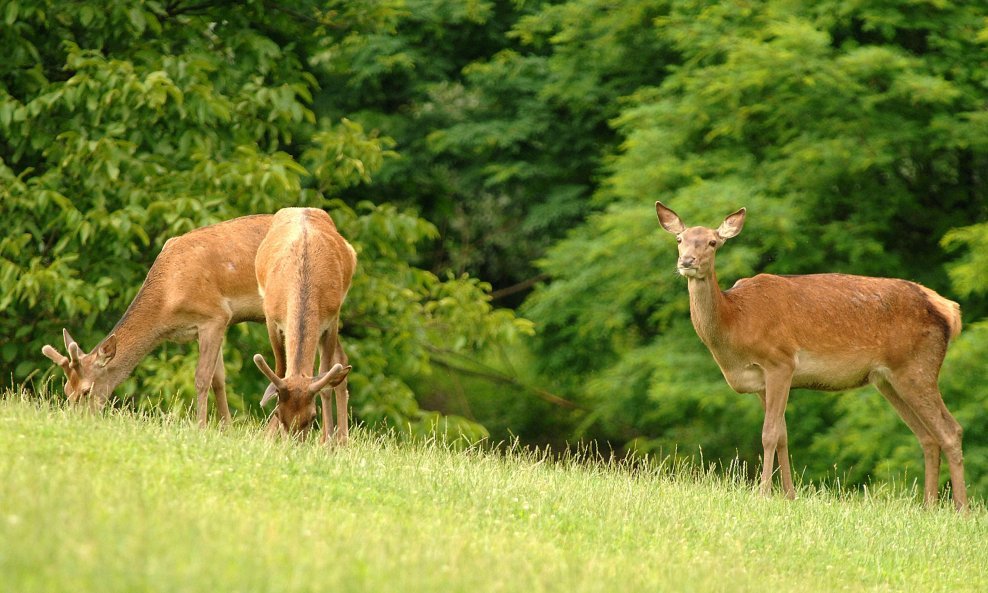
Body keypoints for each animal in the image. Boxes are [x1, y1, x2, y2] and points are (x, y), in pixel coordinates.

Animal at [41, 214, 274, 426]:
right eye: (66, 389)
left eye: (86, 390)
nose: (75, 420)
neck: (167, 302)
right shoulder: (203, 327)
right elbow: (218, 379)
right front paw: (226, 428)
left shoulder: (216, 315)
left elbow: (202, 378)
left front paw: (201, 428)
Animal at [251, 208, 356, 444]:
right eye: (278, 413)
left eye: (312, 416)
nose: (293, 446)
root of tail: (302, 208)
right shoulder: (271, 318)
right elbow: (280, 370)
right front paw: (268, 436)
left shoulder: (331, 319)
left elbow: (325, 380)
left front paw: (327, 442)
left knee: (340, 362)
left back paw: (341, 441)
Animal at [652, 200, 968, 508]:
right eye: (680, 239)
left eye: (713, 242)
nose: (687, 262)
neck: (735, 325)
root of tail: (950, 310)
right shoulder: (760, 382)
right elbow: (782, 434)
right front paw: (789, 496)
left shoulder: (780, 361)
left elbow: (768, 433)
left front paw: (764, 494)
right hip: (888, 378)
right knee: (927, 436)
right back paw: (929, 507)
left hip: (918, 365)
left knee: (950, 430)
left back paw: (961, 509)